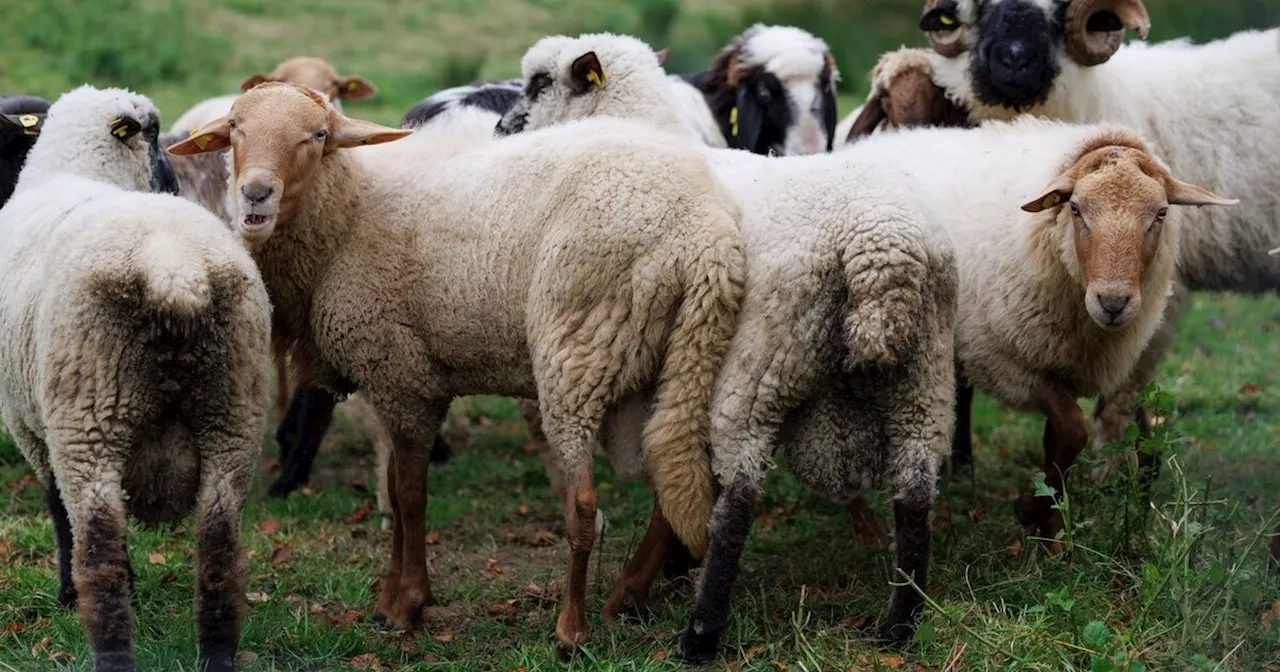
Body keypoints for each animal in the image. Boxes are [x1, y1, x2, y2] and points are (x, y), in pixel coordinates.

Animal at [0, 83, 270, 670]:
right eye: (157, 135)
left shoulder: (33, 427)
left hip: (90, 415)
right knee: (219, 552)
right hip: (232, 412)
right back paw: (216, 655)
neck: (73, 168)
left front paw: (66, 594)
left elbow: (57, 510)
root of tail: (173, 271)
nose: (173, 180)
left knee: (98, 553)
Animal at [170, 81, 747, 652]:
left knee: (584, 503)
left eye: (317, 136)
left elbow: (409, 495)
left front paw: (405, 604)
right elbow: (396, 489)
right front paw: (395, 598)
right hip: (676, 358)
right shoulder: (395, 380)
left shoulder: (402, 373)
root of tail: (705, 234)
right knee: (671, 486)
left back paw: (572, 627)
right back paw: (626, 596)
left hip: (578, 349)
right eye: (235, 129)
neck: (351, 211)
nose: (255, 193)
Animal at [499, 32, 962, 655]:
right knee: (914, 494)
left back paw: (700, 632)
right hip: (925, 377)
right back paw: (899, 626)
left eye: (540, 83)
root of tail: (882, 248)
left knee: (739, 497)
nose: (502, 127)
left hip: (761, 365)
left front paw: (648, 584)